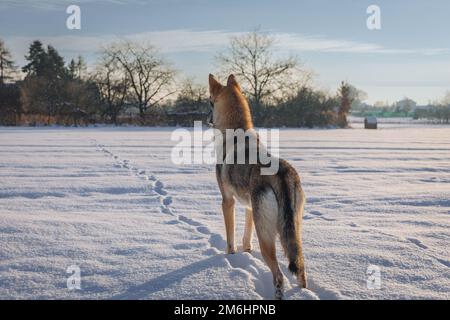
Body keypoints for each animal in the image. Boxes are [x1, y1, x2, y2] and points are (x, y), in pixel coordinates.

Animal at [209, 73, 308, 300]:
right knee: (301, 267)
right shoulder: (249, 207)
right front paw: (246, 250)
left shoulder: (227, 201)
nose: (208, 120)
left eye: (210, 102)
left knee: (279, 276)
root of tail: (282, 174)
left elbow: (230, 238)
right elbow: (246, 235)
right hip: (293, 230)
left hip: (267, 238)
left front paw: (231, 257)